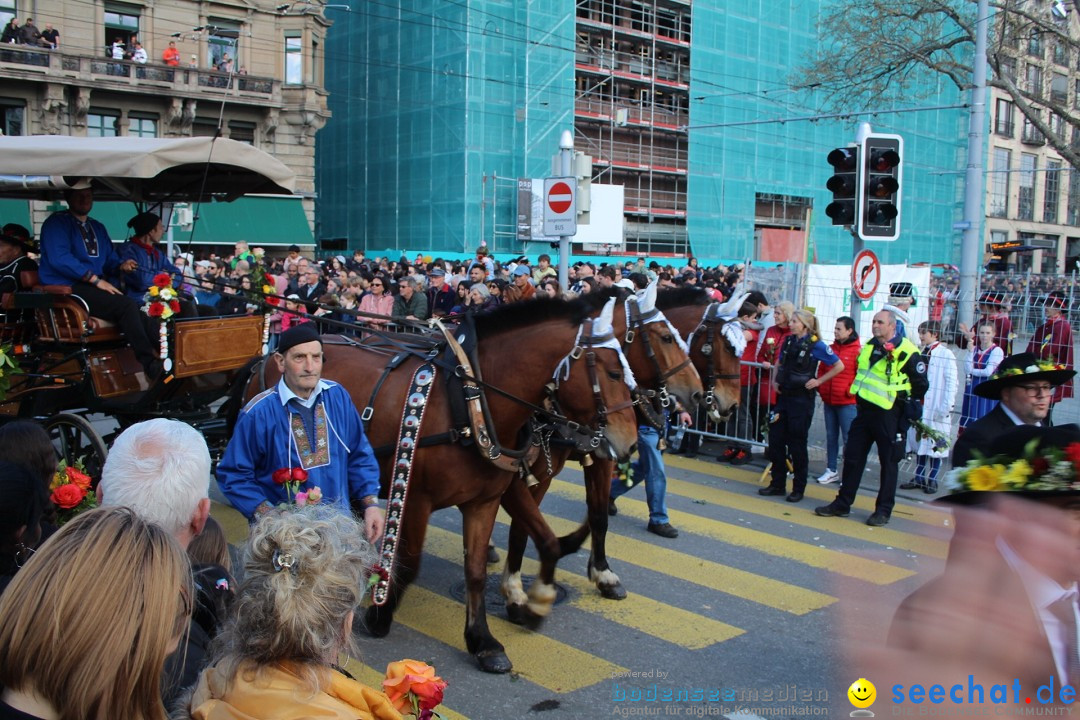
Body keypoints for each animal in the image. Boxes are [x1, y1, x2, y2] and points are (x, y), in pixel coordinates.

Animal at [245, 295, 635, 673]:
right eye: (614, 372)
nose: (630, 442)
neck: (468, 404)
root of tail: (266, 358)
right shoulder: (418, 499)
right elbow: (410, 562)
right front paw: (381, 613)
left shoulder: (485, 501)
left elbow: (479, 568)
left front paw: (486, 639)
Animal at [503, 284, 747, 608]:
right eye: (667, 338)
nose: (730, 404)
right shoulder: (535, 470)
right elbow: (522, 521)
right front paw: (514, 585)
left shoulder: (603, 456)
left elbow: (598, 515)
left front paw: (604, 574)